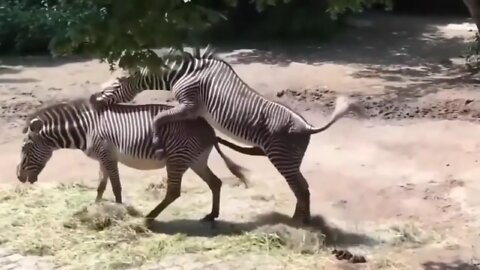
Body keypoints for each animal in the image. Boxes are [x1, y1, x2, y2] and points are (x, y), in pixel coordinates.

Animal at [15, 98, 262, 223]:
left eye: (25, 147)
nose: (18, 176)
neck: (87, 129)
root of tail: (209, 129)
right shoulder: (102, 158)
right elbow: (101, 186)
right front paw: (94, 208)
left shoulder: (108, 155)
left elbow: (115, 186)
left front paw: (120, 212)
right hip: (196, 160)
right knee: (215, 183)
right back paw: (212, 215)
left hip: (178, 158)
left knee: (174, 192)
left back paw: (150, 216)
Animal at [91, 46, 368, 224]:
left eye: (113, 86)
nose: (93, 100)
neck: (183, 73)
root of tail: (309, 126)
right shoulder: (191, 110)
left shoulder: (188, 104)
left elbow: (161, 117)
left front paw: (159, 142)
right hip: (290, 159)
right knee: (303, 187)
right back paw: (299, 220)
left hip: (283, 157)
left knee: (301, 189)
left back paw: (302, 223)